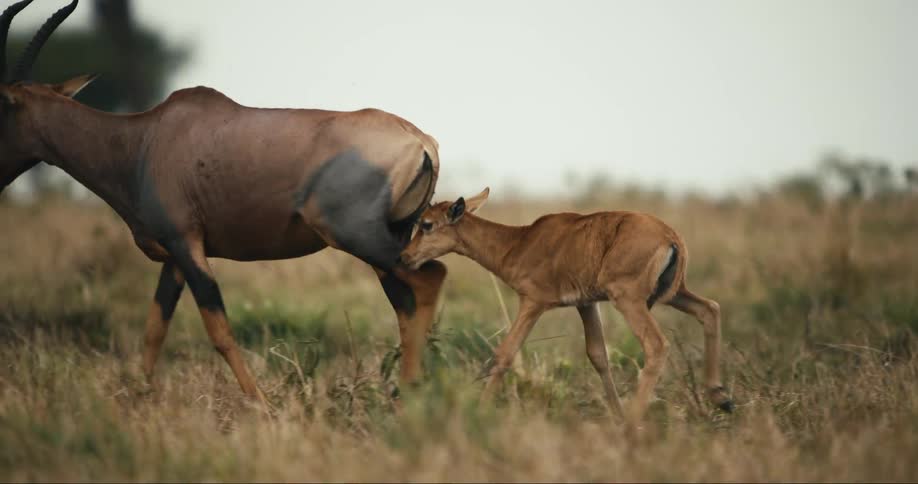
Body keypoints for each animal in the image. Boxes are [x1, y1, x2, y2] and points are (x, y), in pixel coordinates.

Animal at [0, 0, 447, 401]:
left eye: (1, 107)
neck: (146, 138)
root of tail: (420, 141)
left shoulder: (186, 243)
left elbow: (219, 331)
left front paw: (260, 404)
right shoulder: (176, 255)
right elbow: (154, 330)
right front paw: (138, 397)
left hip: (358, 237)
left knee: (429, 280)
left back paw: (409, 392)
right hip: (394, 238)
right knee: (406, 305)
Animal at [399, 188, 734, 422]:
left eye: (426, 224)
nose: (404, 257)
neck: (520, 242)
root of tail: (671, 237)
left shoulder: (532, 302)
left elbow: (504, 353)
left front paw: (480, 410)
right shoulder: (586, 304)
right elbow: (598, 356)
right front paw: (616, 413)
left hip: (629, 300)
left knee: (657, 344)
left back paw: (634, 424)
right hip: (676, 293)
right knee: (711, 309)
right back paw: (721, 398)